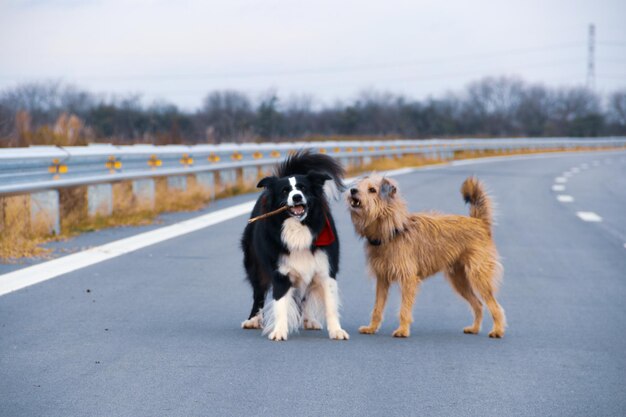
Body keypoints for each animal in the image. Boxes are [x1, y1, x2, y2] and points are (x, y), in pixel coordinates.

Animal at [240, 151, 348, 340]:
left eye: (303, 188)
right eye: (285, 191)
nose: (296, 197)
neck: (299, 227)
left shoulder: (326, 269)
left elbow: (330, 305)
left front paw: (336, 331)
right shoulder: (280, 272)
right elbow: (281, 304)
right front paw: (279, 332)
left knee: (305, 295)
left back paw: (309, 320)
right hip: (255, 265)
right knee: (258, 293)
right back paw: (253, 320)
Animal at [348, 174, 504, 336]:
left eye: (372, 190)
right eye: (358, 185)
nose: (352, 190)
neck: (391, 231)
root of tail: (478, 221)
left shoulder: (408, 279)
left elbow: (404, 308)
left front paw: (403, 330)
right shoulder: (382, 279)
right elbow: (377, 308)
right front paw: (371, 328)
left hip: (479, 276)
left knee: (495, 306)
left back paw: (498, 330)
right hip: (459, 280)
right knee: (478, 304)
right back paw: (474, 328)